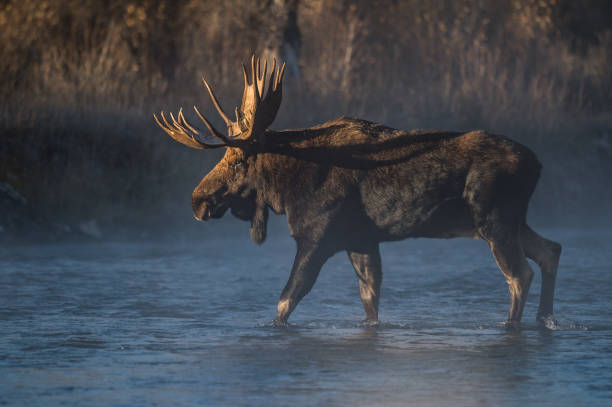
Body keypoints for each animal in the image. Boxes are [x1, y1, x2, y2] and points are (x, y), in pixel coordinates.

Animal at [155, 55, 560, 326]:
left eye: (238, 159)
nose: (197, 200)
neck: (285, 188)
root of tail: (539, 164)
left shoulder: (317, 236)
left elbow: (286, 301)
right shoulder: (361, 239)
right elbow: (370, 301)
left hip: (492, 219)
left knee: (519, 275)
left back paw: (511, 326)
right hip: (511, 221)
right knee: (550, 250)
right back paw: (545, 319)